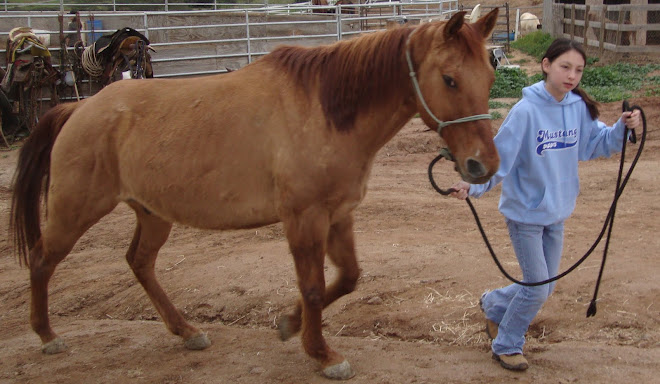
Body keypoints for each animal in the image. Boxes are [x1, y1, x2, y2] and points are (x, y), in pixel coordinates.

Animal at [11, 7, 500, 380]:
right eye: (450, 79)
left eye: (489, 77)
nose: (484, 166)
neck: (323, 110)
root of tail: (76, 109)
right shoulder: (304, 218)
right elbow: (314, 286)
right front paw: (322, 354)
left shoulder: (338, 214)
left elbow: (348, 278)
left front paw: (289, 324)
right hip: (75, 210)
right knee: (42, 260)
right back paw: (47, 336)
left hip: (152, 213)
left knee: (140, 263)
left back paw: (187, 331)